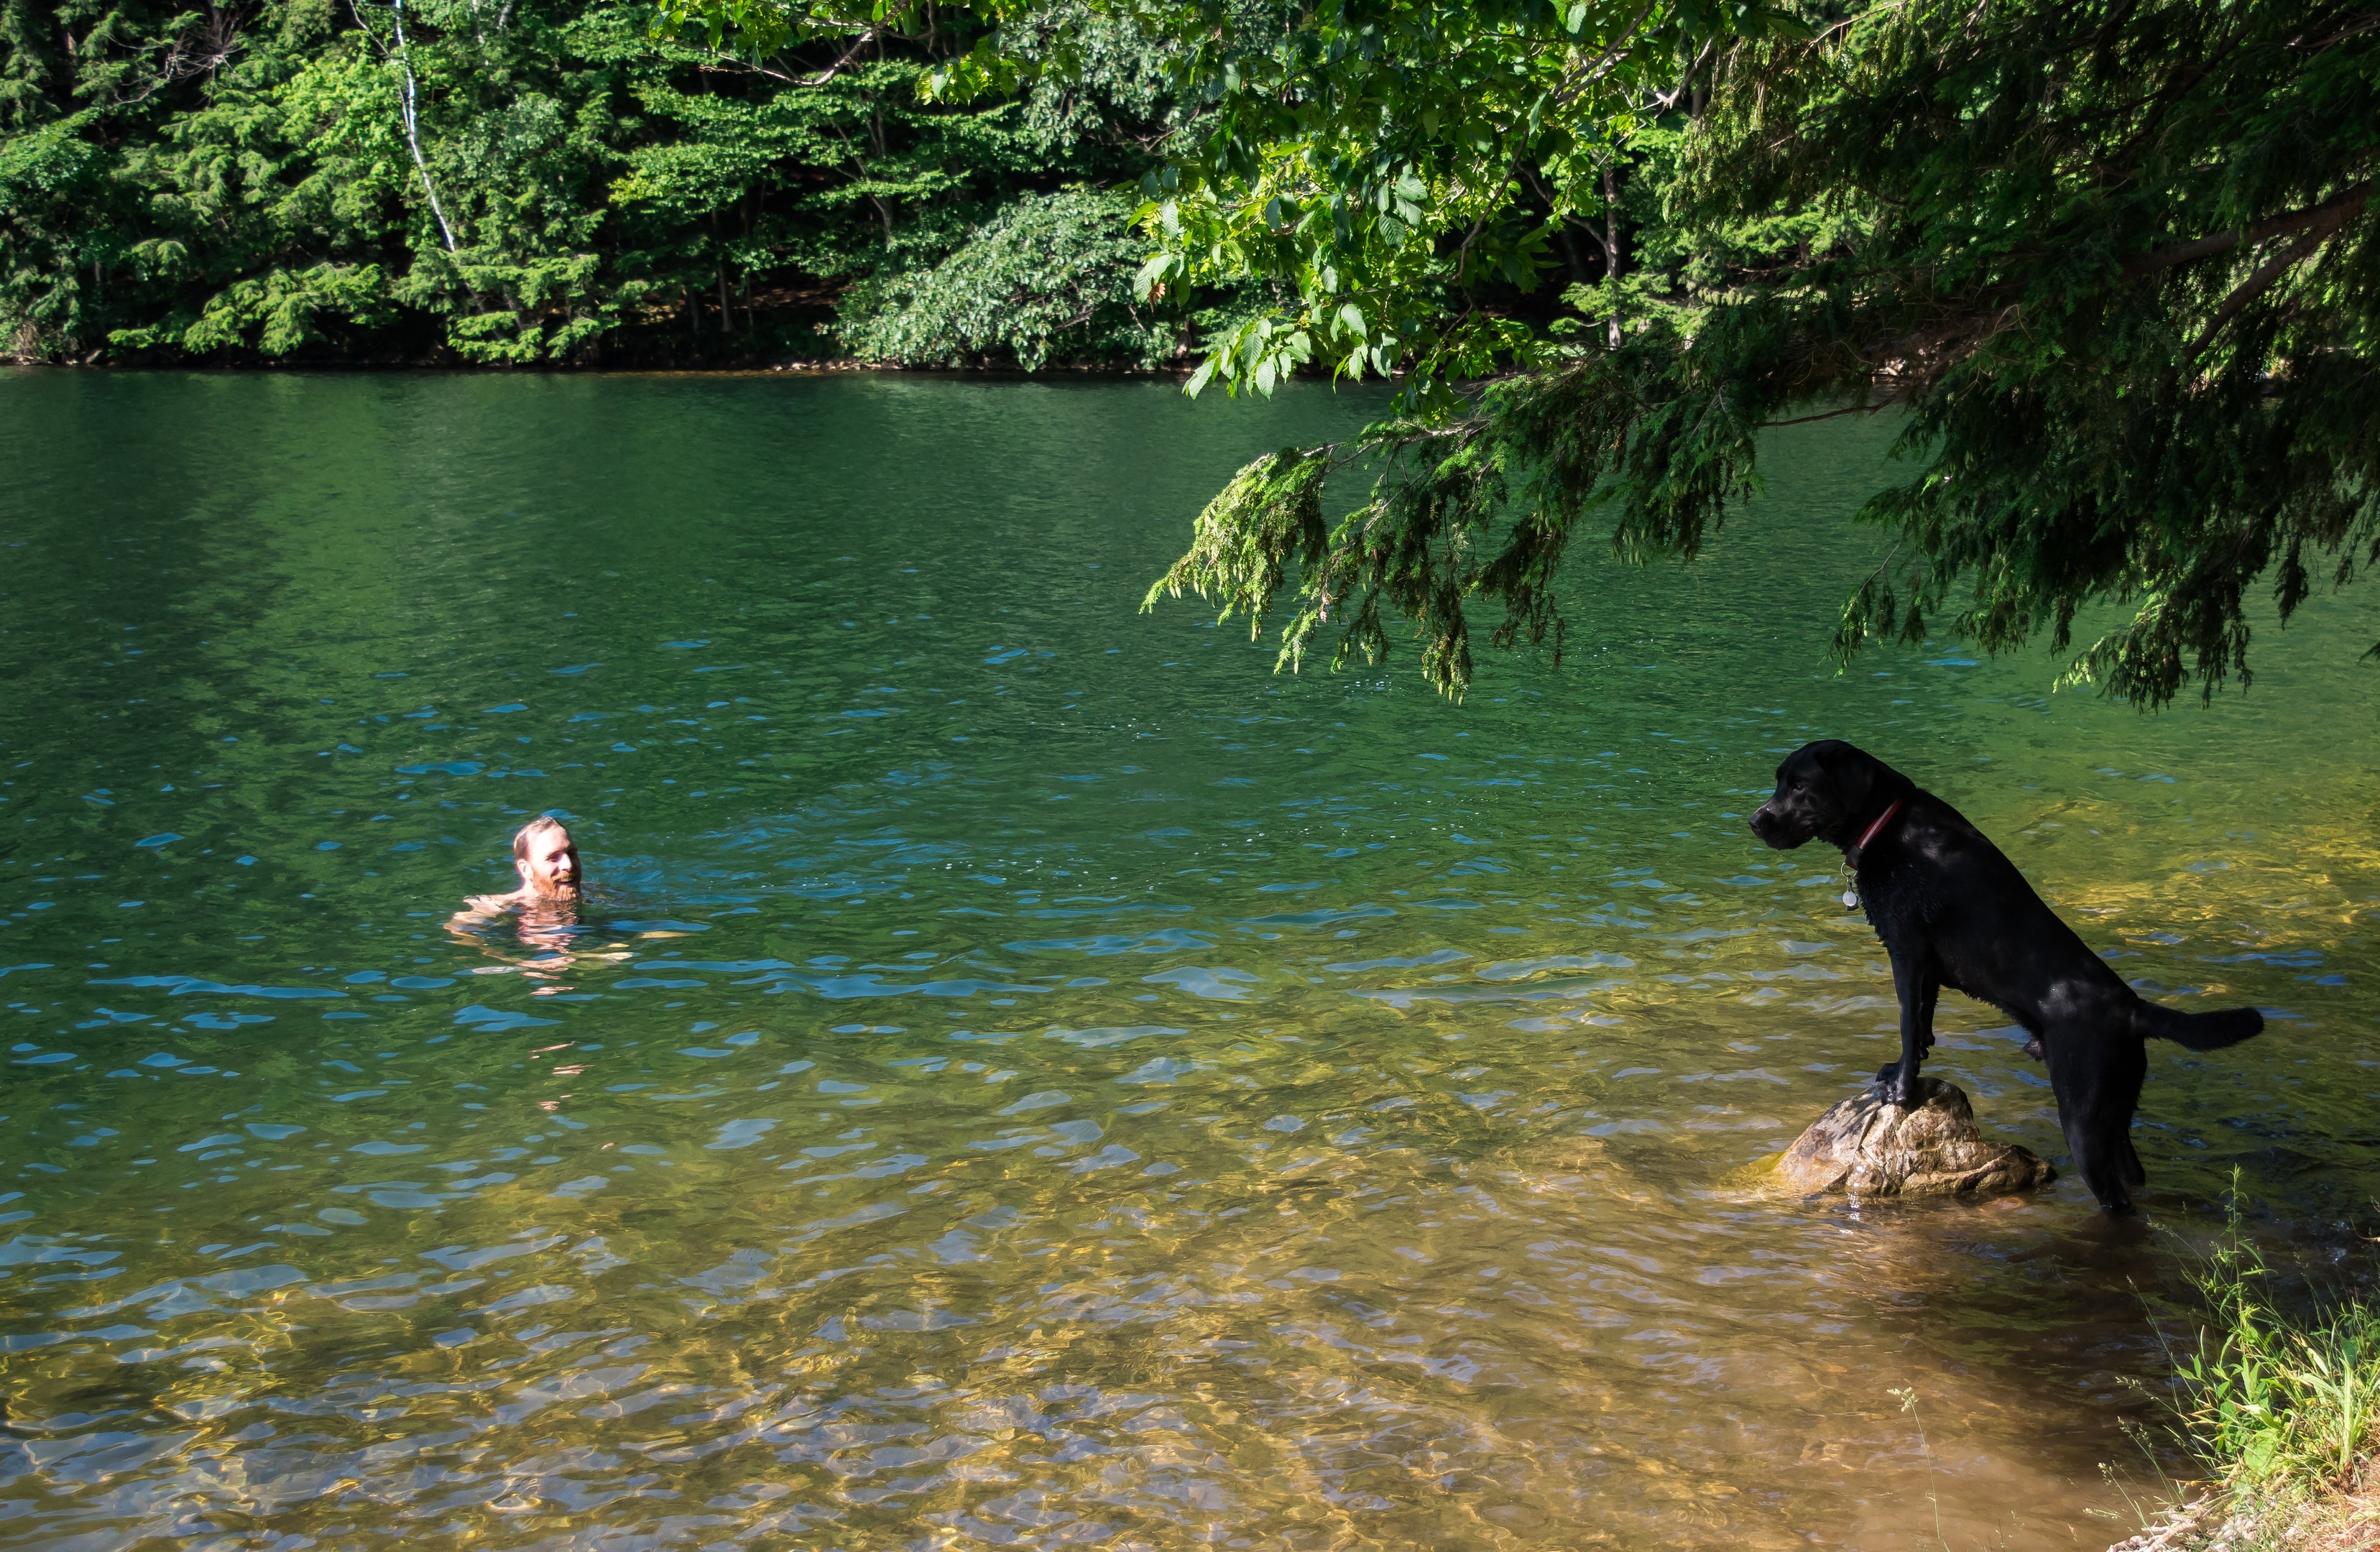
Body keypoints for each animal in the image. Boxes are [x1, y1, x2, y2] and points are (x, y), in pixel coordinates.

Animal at [1751, 737, 2266, 1214]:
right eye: (1780, 782)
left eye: (1799, 786)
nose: (1755, 820)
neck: (1889, 823)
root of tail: (2132, 1009)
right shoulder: (1928, 970)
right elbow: (1923, 1026)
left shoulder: (1907, 952)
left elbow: (1907, 1026)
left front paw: (1900, 1089)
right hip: (2115, 1115)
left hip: (2083, 1120)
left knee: (2114, 1199)